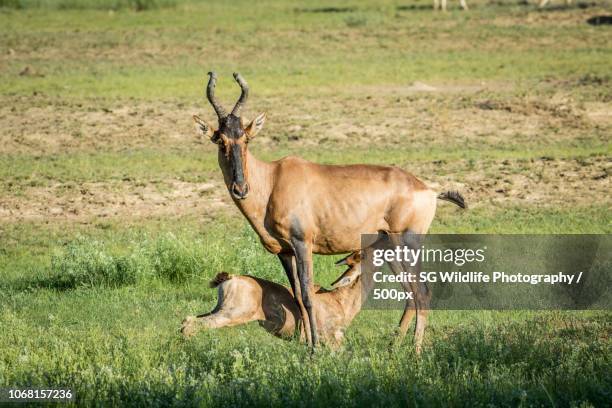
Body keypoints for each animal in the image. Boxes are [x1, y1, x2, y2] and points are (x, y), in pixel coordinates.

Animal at [179, 252, 366, 348]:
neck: (337, 299)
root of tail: (231, 278)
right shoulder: (332, 340)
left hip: (218, 309)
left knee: (188, 320)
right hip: (231, 315)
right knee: (194, 325)